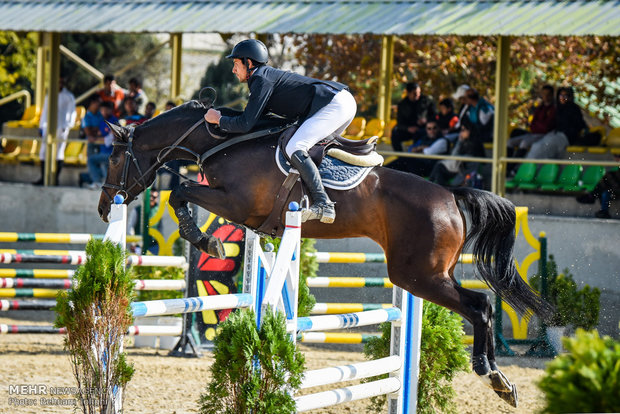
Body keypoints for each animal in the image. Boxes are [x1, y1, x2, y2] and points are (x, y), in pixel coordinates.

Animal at [98, 101, 552, 408]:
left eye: (115, 157)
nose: (105, 207)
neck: (223, 142)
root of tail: (451, 195)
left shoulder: (236, 204)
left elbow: (180, 191)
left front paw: (206, 241)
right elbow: (184, 194)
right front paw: (208, 240)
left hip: (418, 276)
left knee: (479, 306)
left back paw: (493, 377)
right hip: (428, 274)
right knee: (483, 305)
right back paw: (501, 381)